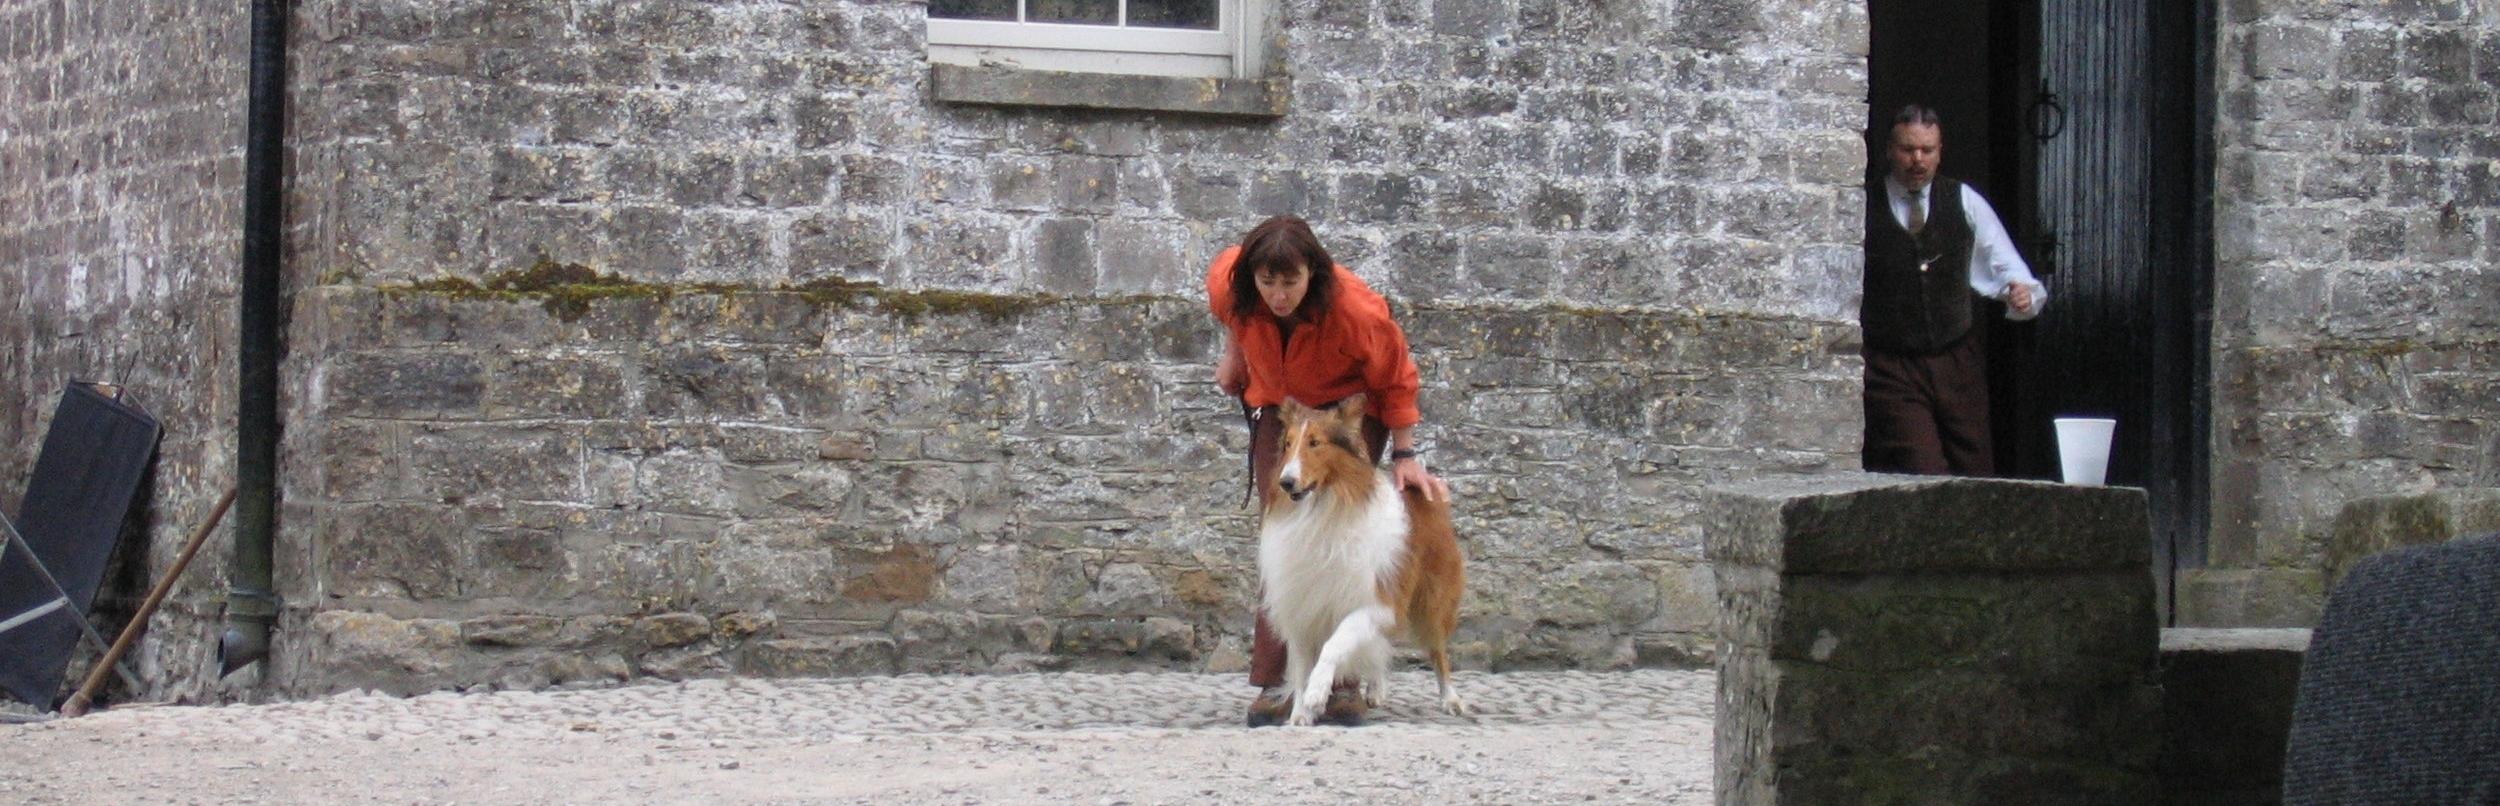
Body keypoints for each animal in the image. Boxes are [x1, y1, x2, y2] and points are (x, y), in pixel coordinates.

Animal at [1270, 392, 1460, 725]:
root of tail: (1418, 490)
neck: (1323, 510)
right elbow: (1300, 669)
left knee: (1438, 652)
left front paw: (1317, 693)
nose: (1287, 482)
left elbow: (1333, 646)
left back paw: (1450, 698)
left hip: (1431, 600)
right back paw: (1375, 689)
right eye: (1288, 444)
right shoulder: (1302, 608)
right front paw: (1300, 714)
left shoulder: (1372, 603)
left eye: (1315, 443)